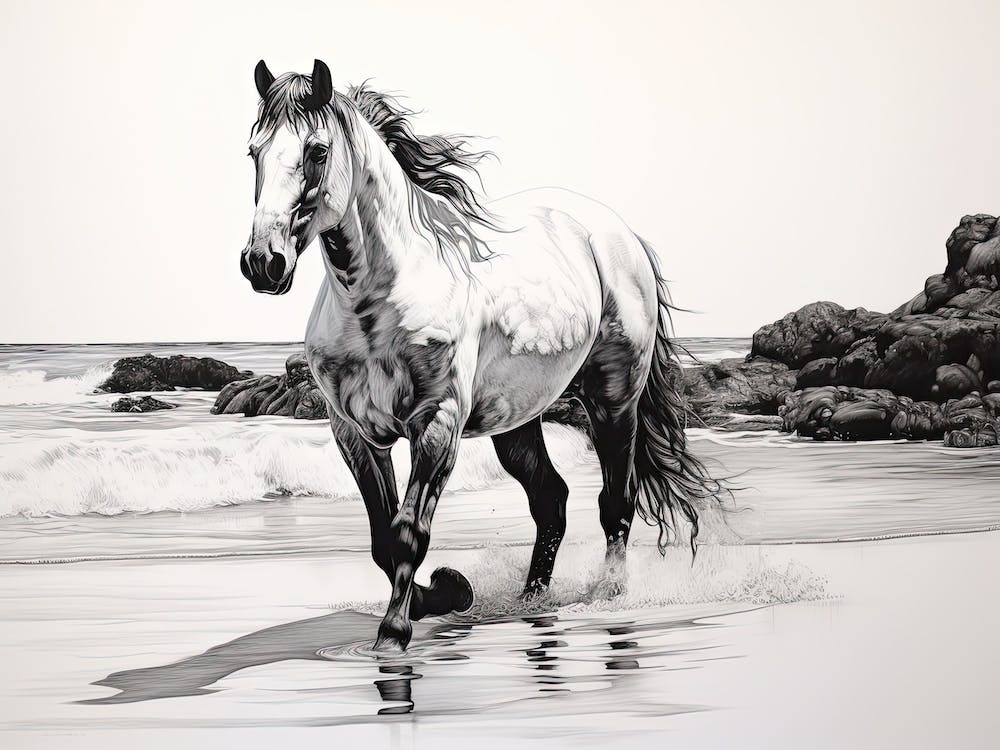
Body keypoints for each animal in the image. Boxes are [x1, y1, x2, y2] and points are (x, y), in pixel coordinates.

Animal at [241, 59, 727, 651]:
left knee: (617, 500)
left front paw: (394, 633)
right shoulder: (353, 432)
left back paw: (607, 597)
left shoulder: (438, 423)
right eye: (254, 151)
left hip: (614, 399)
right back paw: (532, 601)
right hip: (516, 419)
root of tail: (618, 234)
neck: (378, 300)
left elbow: (408, 534)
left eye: (316, 151)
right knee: (551, 499)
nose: (263, 262)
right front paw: (447, 593)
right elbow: (383, 540)